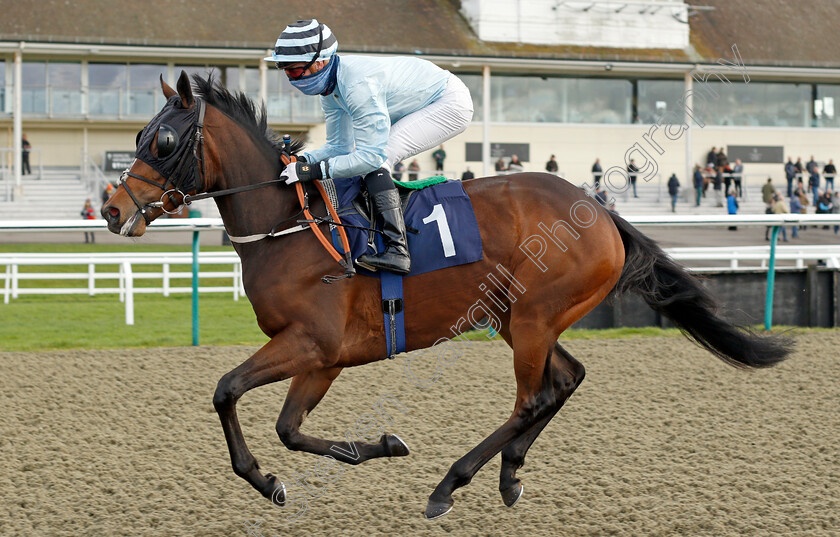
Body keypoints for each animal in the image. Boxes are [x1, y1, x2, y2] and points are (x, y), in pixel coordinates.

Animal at [101, 73, 792, 516]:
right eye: (136, 138)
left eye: (163, 142)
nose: (111, 210)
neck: (291, 227)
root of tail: (599, 210)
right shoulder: (323, 358)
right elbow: (289, 428)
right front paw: (364, 450)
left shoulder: (312, 344)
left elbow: (227, 392)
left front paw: (270, 479)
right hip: (517, 316)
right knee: (565, 380)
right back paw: (509, 475)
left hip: (534, 315)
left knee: (532, 397)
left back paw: (450, 485)